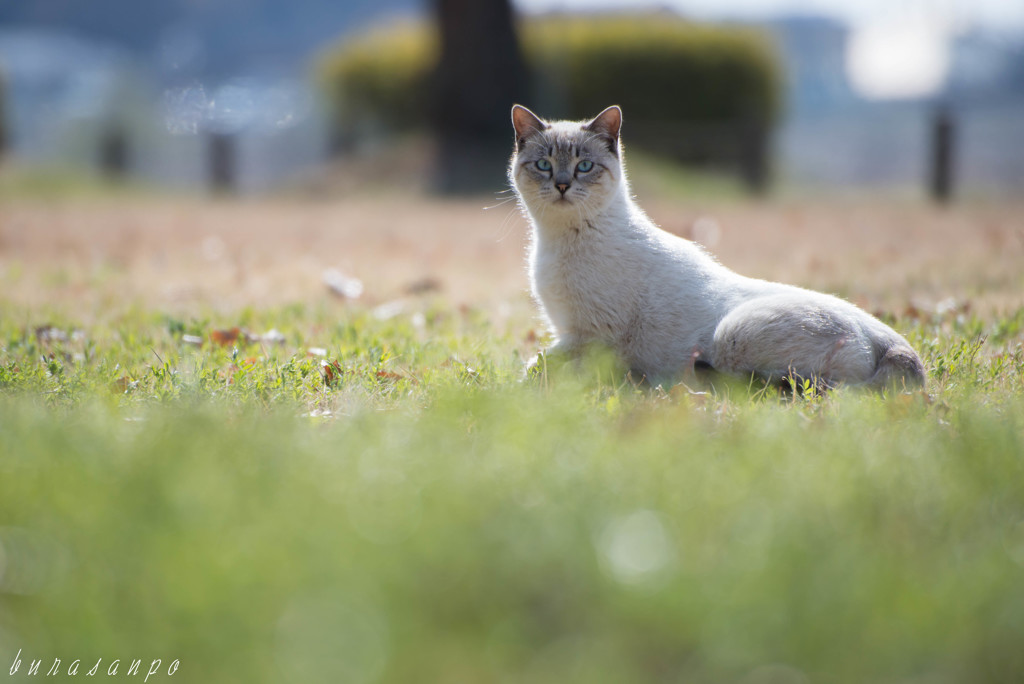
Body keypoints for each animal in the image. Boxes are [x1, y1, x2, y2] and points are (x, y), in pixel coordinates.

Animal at [512, 101, 929, 389]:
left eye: (584, 166)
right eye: (544, 165)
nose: (562, 184)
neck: (558, 239)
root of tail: (892, 342)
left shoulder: (589, 336)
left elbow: (537, 365)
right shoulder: (569, 331)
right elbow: (538, 362)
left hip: (732, 332)